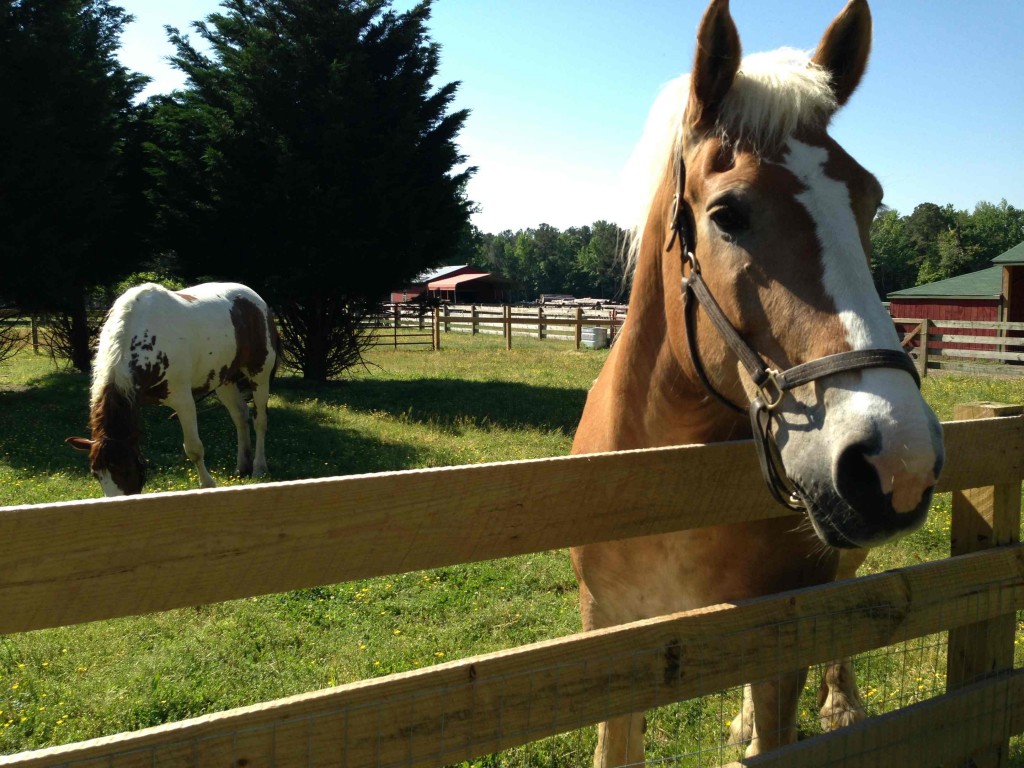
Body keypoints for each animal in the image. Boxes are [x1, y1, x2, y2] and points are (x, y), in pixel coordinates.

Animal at [67, 284, 278, 499]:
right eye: (96, 474)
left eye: (125, 470)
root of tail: (256, 299)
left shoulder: (183, 401)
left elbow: (194, 448)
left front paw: (208, 484)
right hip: (226, 380)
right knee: (240, 416)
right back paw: (242, 466)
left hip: (259, 375)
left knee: (260, 421)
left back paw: (259, 467)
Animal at [569, 3, 942, 765]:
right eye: (728, 214)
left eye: (870, 199)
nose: (898, 456)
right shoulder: (610, 642)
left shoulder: (781, 640)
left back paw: (841, 705)